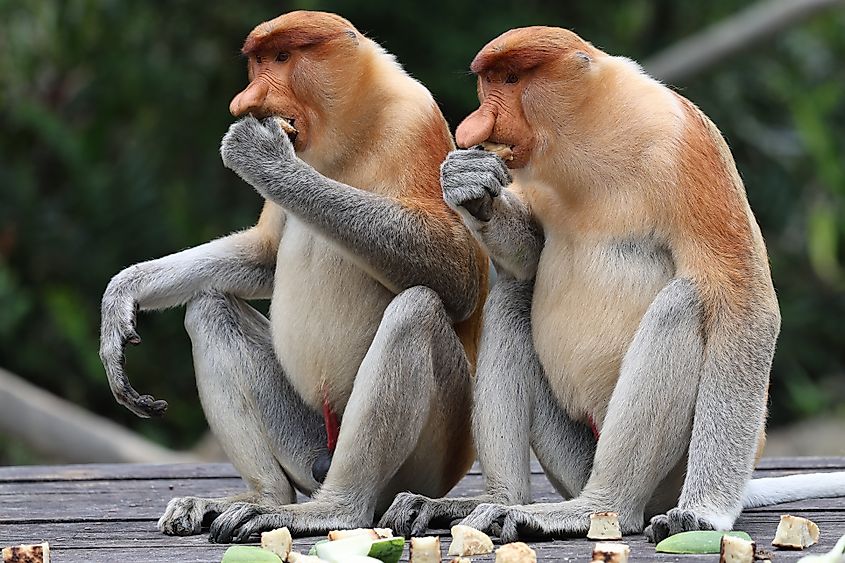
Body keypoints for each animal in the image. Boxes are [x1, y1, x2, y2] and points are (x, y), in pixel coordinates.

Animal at [98, 10, 488, 542]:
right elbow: (265, 256)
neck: (347, 132)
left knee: (417, 311)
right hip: (307, 442)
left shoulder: (416, 122)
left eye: (283, 57)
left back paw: (332, 510)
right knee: (209, 306)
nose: (246, 102)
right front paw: (121, 297)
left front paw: (259, 153)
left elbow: (460, 276)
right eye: (257, 61)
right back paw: (260, 498)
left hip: (432, 459)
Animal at [380, 26, 845, 543]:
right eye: (489, 82)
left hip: (668, 473)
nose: (473, 128)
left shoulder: (687, 143)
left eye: (511, 79)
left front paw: (704, 515)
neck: (587, 132)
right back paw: (490, 503)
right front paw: (471, 187)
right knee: (514, 294)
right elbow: (531, 255)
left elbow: (743, 300)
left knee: (683, 304)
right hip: (574, 455)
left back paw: (595, 509)